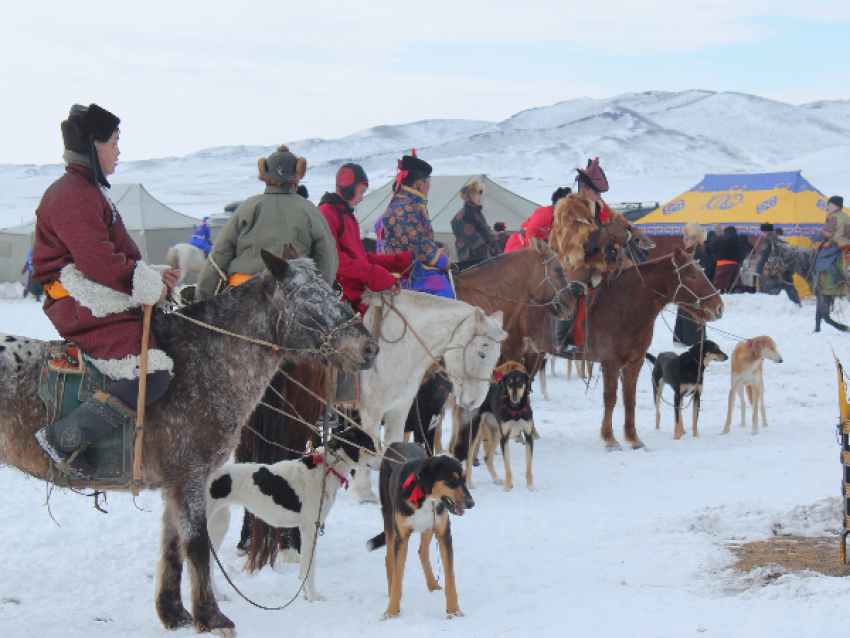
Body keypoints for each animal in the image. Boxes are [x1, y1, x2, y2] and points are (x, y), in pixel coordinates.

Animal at [204, 428, 380, 604]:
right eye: (370, 445)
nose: (384, 462)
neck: (327, 467)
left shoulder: (305, 529)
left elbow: (302, 572)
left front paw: (306, 596)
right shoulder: (311, 529)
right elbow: (310, 569)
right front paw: (314, 597)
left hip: (219, 526)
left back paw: (218, 596)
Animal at [352, 290, 504, 504]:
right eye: (482, 353)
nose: (476, 401)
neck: (400, 347)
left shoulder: (399, 409)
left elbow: (393, 444)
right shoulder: (371, 411)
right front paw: (364, 493)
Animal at [362, 444, 470, 620]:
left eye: (464, 479)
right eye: (452, 480)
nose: (471, 503)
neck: (424, 494)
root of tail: (396, 444)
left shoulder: (444, 534)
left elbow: (450, 578)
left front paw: (454, 611)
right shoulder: (402, 537)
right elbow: (398, 577)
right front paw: (391, 611)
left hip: (428, 526)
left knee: (422, 552)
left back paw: (432, 584)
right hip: (390, 521)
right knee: (389, 558)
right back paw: (390, 591)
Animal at [564, 248, 724, 452]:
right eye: (693, 276)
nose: (719, 307)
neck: (624, 304)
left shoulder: (635, 361)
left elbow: (629, 399)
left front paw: (633, 438)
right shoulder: (610, 362)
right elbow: (610, 398)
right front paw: (610, 439)